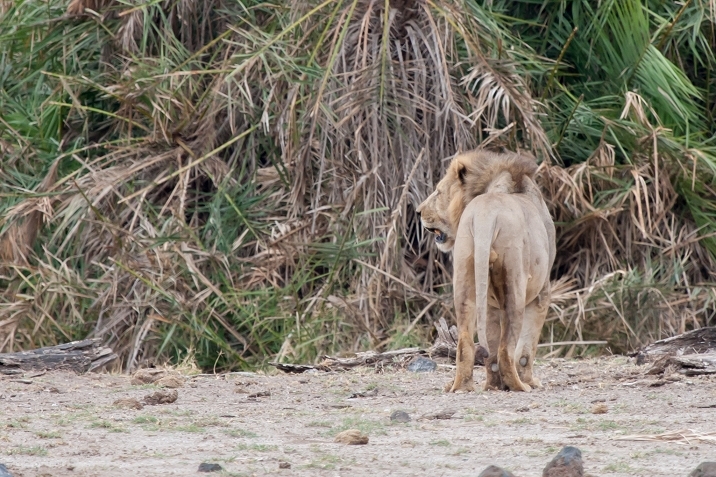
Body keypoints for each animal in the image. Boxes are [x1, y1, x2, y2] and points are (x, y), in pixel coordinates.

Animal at [416, 149, 556, 390]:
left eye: (438, 192)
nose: (418, 211)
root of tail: (486, 214)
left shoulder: (490, 302)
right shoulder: (543, 292)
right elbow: (526, 348)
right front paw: (530, 380)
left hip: (464, 279)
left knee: (468, 344)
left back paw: (467, 386)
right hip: (515, 283)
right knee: (506, 348)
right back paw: (520, 385)